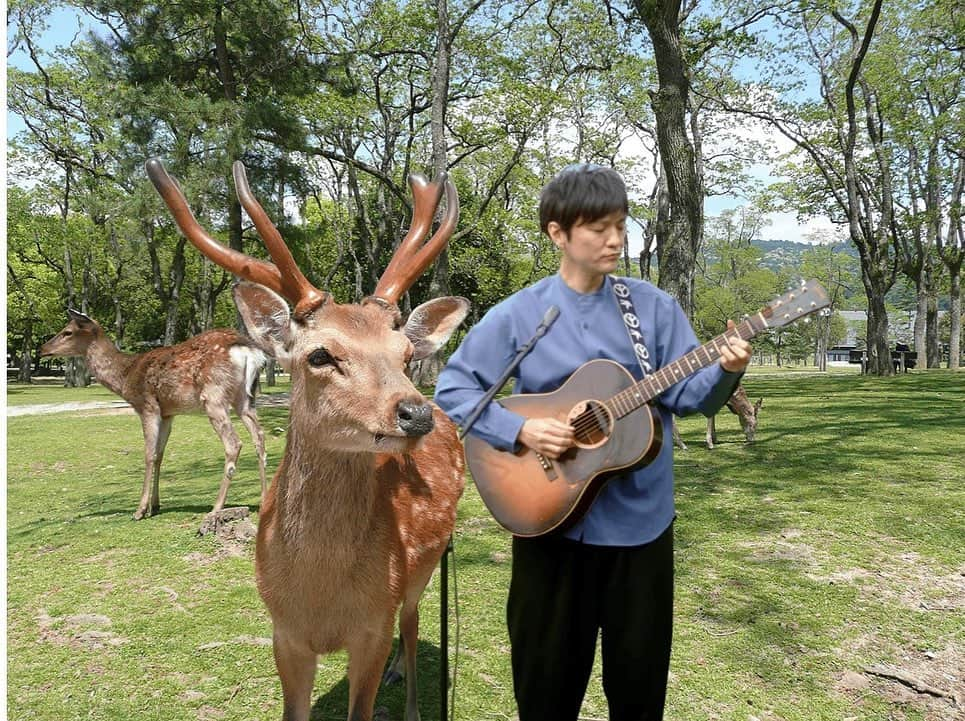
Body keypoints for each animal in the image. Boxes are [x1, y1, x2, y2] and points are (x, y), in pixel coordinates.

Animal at [39, 310, 268, 524]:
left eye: (68, 331)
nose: (42, 349)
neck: (125, 377)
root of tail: (249, 351)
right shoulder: (167, 413)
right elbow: (159, 455)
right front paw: (155, 506)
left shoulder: (147, 406)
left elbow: (148, 454)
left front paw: (140, 510)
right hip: (245, 398)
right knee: (259, 437)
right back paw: (263, 499)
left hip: (214, 396)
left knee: (234, 443)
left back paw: (216, 507)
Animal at [145, 158, 468, 720]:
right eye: (319, 355)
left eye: (406, 355)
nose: (416, 413)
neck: (320, 598)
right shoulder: (284, 633)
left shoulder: (373, 624)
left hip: (423, 569)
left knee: (413, 622)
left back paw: (408, 698)